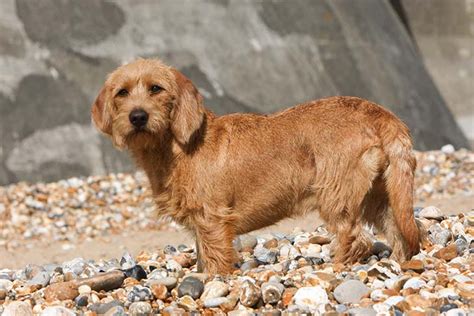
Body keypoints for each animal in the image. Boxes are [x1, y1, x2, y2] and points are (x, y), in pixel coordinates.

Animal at [90, 59, 420, 274]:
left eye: (156, 88)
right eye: (122, 92)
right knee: (401, 231)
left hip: (336, 196)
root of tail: (379, 113)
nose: (137, 116)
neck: (176, 147)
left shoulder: (212, 220)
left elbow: (215, 260)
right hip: (381, 196)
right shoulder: (200, 226)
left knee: (357, 238)